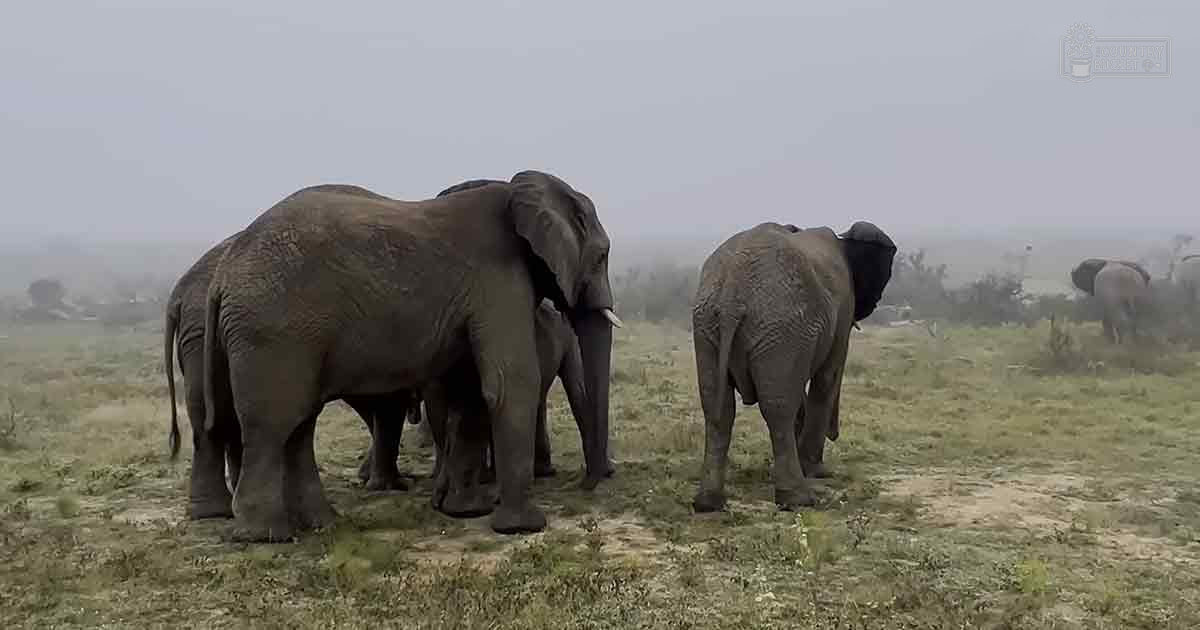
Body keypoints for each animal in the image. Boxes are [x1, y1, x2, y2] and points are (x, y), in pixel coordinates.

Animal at [201, 171, 617, 541]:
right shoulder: (500, 278)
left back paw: (321, 525)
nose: (587, 483)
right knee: (274, 424)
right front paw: (522, 527)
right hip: (273, 332)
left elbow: (470, 392)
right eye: (601, 257)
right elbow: (509, 382)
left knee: (300, 423)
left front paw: (466, 512)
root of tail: (221, 276)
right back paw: (265, 536)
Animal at [690, 221, 896, 513]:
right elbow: (827, 377)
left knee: (718, 409)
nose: (835, 433)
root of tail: (732, 294)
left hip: (709, 324)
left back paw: (708, 503)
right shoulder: (842, 309)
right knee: (778, 408)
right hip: (779, 325)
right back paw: (798, 499)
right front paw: (817, 471)